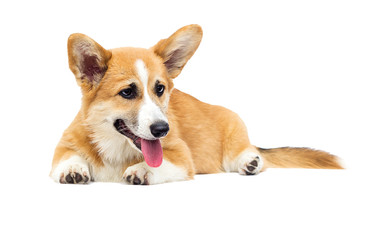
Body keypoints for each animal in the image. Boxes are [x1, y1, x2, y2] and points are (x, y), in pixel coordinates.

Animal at [49, 24, 342, 185]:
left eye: (159, 89)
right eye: (127, 92)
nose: (162, 130)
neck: (115, 146)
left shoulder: (180, 156)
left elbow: (160, 164)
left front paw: (142, 169)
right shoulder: (65, 143)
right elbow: (67, 157)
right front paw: (73, 168)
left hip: (234, 130)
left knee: (248, 153)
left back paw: (250, 161)